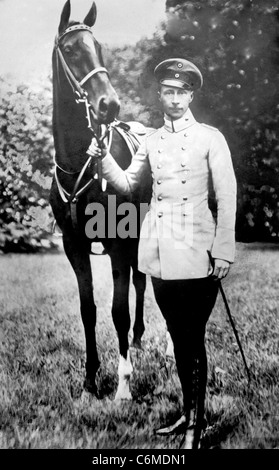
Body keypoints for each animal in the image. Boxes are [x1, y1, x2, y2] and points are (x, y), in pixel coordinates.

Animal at [49, 0, 152, 400]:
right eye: (71, 49)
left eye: (99, 47)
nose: (108, 104)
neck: (80, 162)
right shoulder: (74, 245)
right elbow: (88, 309)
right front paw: (90, 380)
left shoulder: (120, 244)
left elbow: (118, 310)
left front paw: (123, 385)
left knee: (144, 284)